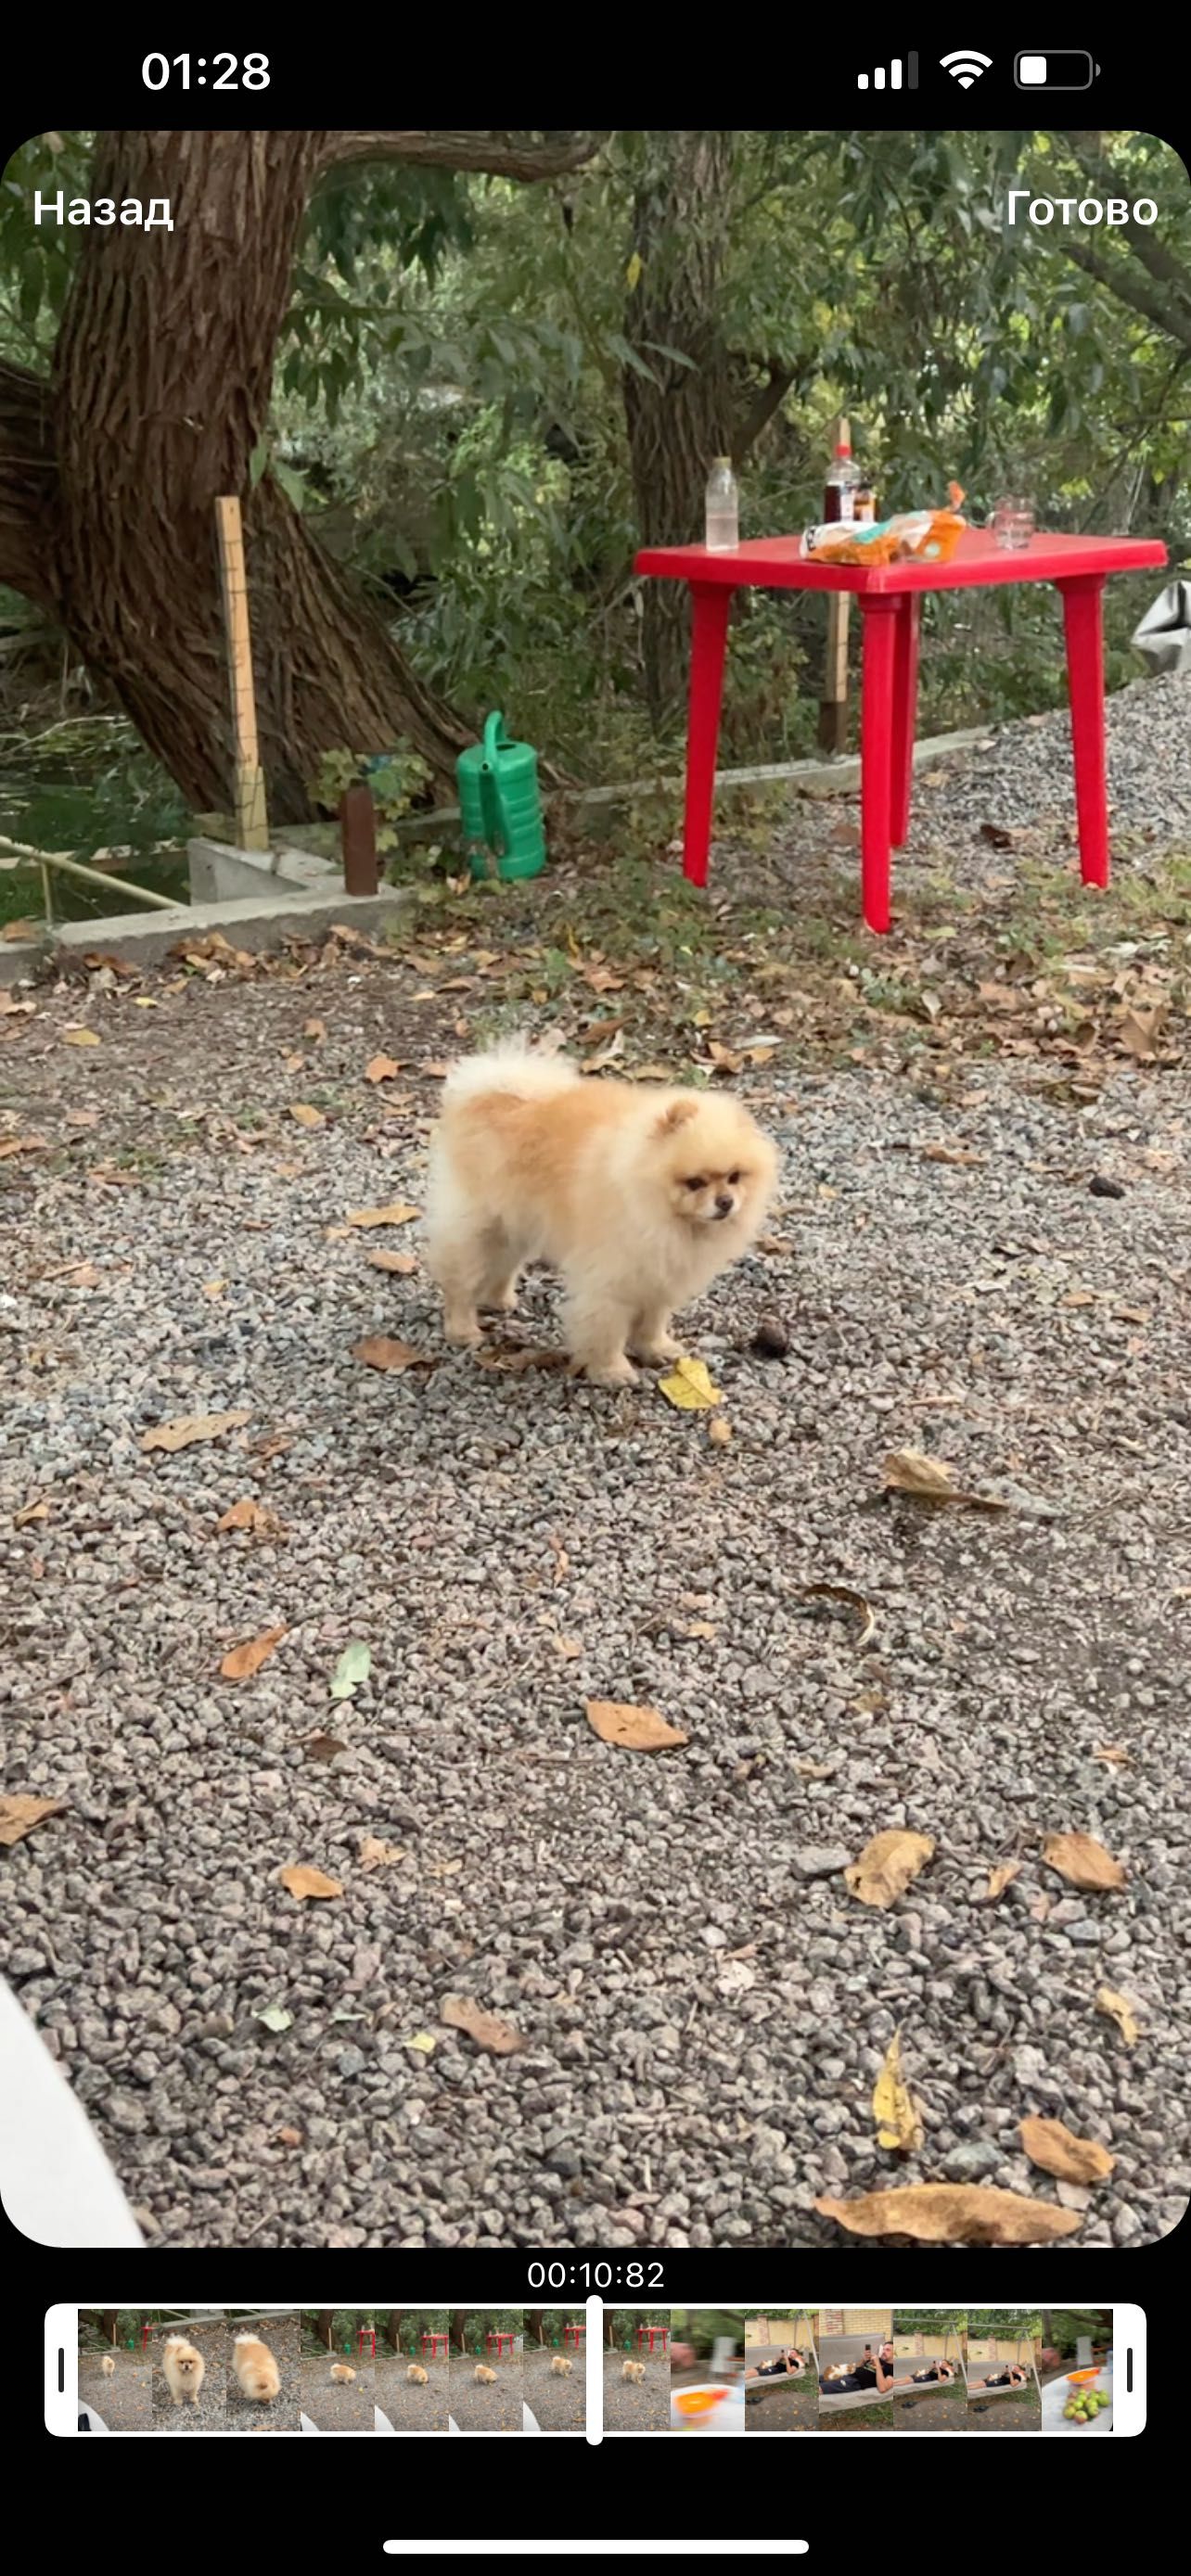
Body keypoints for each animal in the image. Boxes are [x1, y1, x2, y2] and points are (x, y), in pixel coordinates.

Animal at [422, 1040, 778, 1391]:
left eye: (734, 1177)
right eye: (694, 1182)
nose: (725, 1202)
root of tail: (489, 1092)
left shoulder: (659, 1271)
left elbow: (653, 1318)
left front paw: (656, 1348)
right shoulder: (611, 1275)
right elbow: (607, 1328)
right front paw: (612, 1371)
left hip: (516, 1224)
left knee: (502, 1264)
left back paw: (498, 1299)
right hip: (476, 1224)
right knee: (460, 1279)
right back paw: (462, 1328)